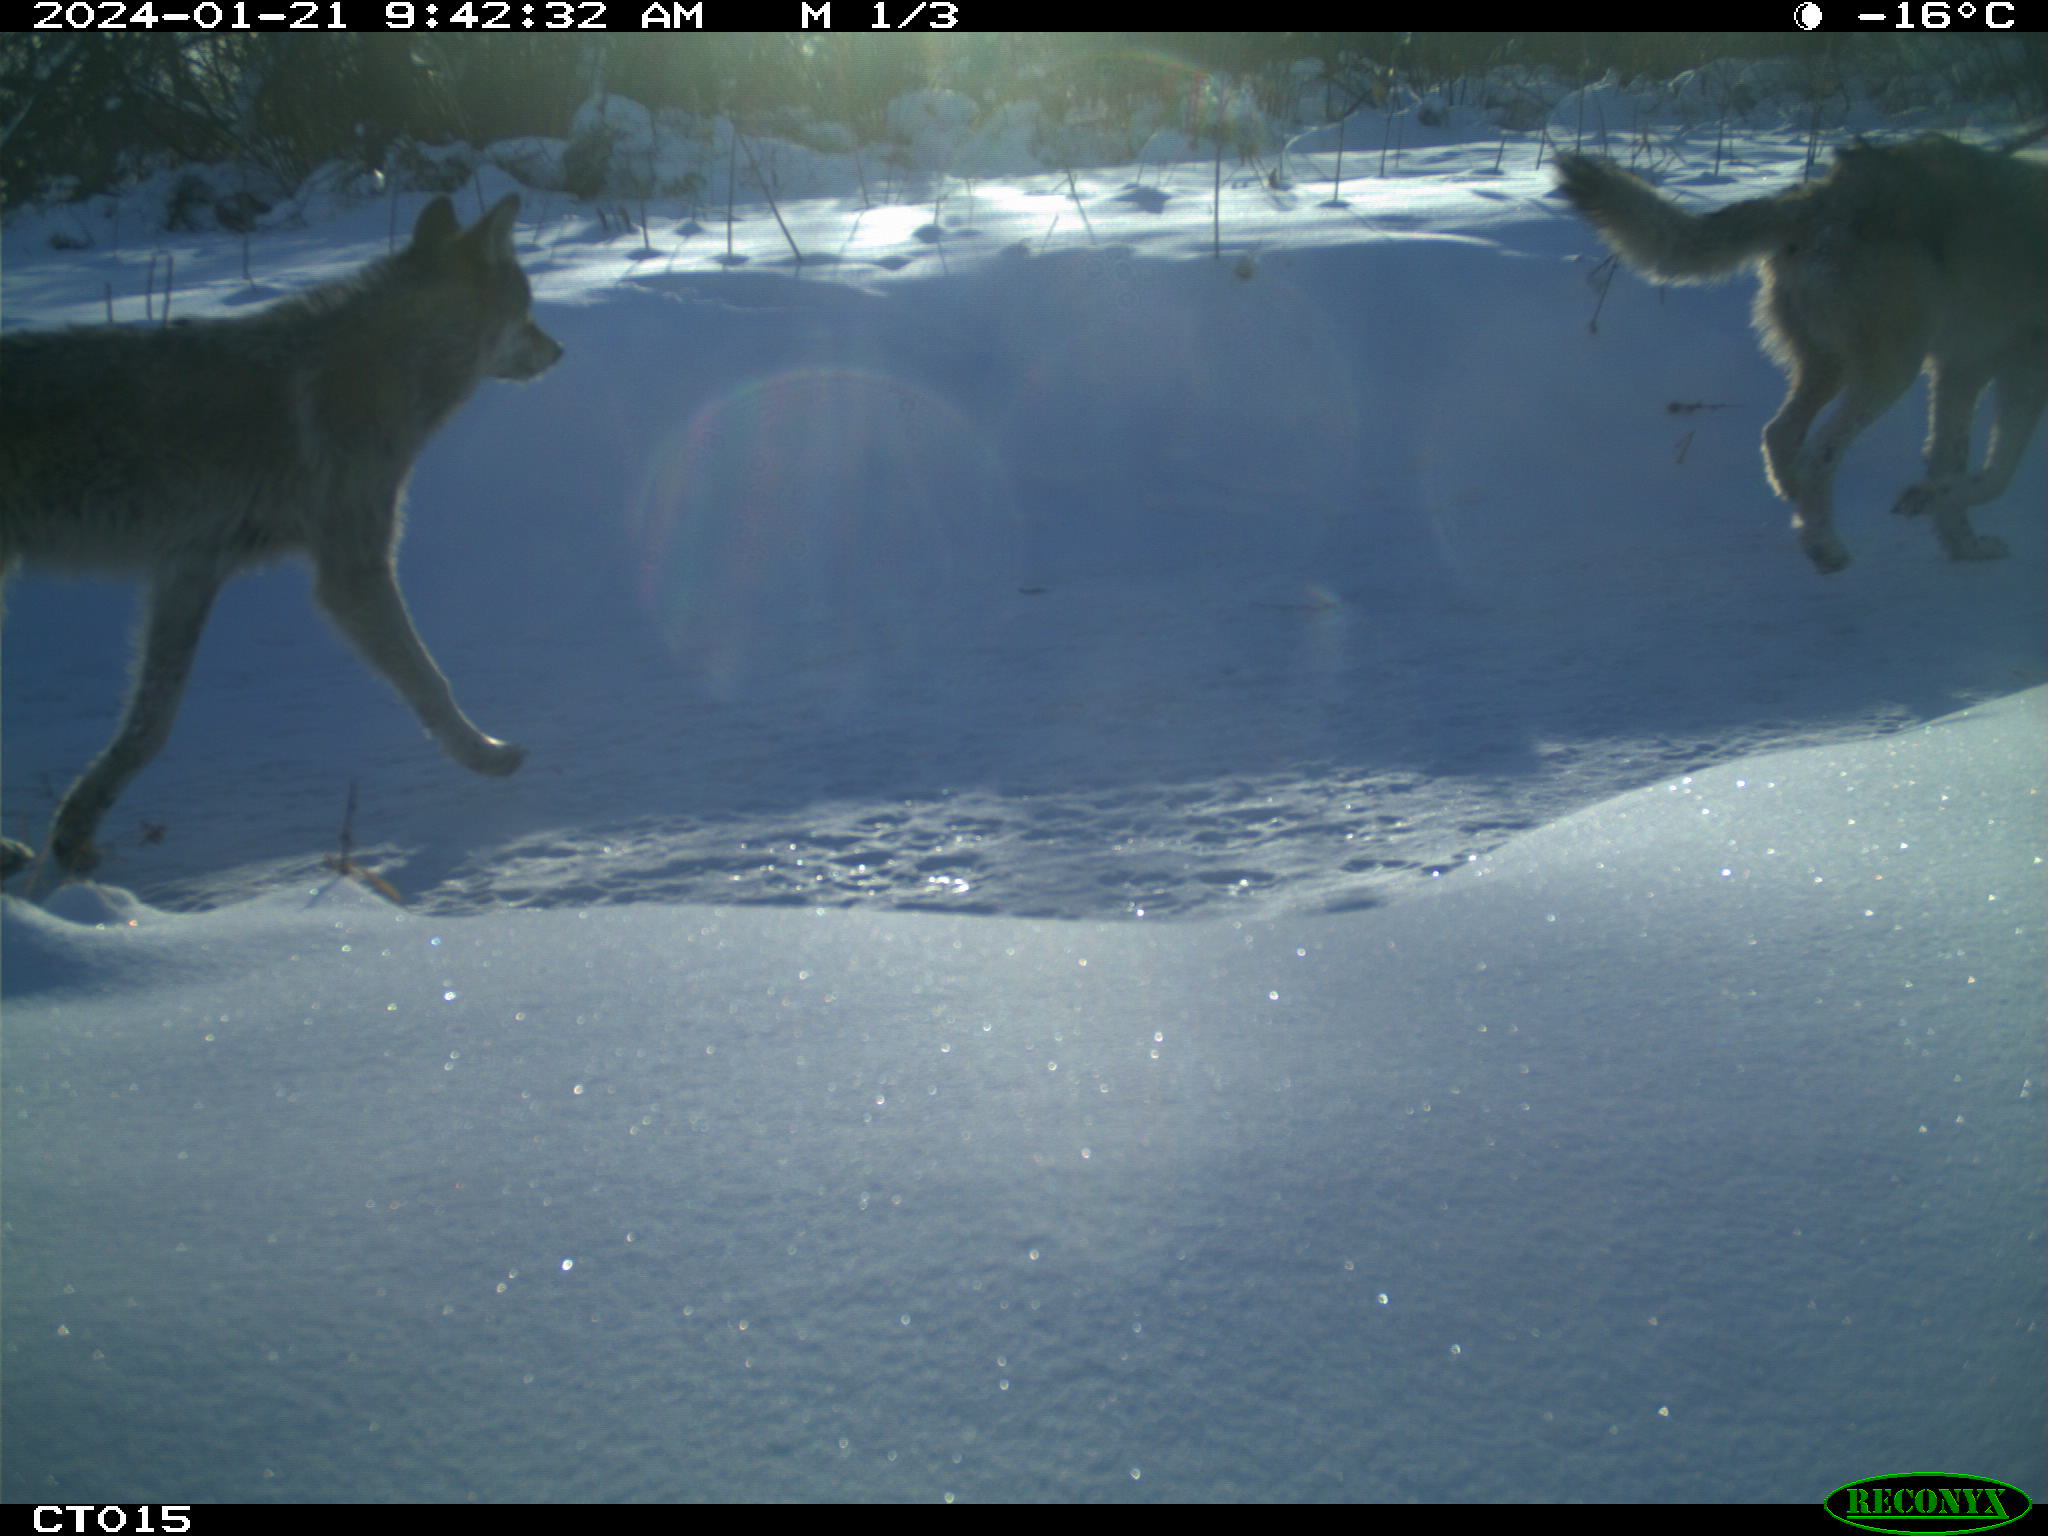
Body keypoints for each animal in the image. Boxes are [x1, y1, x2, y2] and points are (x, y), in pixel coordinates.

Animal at [1556, 135, 2039, 573]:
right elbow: (2000, 472)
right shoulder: (2014, 374)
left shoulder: (1963, 370)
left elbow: (1952, 463)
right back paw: (1824, 546)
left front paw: (1963, 544)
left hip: (1835, 366)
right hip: (1891, 370)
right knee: (1817, 453)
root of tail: (1823, 192)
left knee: (1779, 434)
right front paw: (1933, 508)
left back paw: (1798, 503)